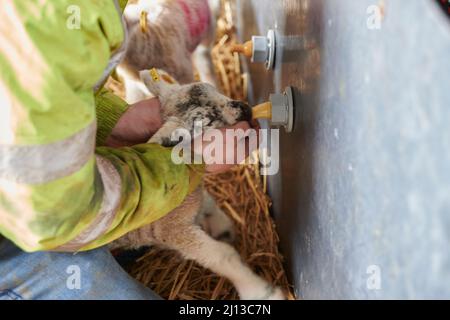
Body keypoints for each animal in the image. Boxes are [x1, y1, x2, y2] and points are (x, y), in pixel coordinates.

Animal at [110, 68, 284, 300]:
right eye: (209, 121)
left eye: (212, 90)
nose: (245, 109)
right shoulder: (173, 230)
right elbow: (223, 256)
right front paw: (262, 292)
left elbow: (208, 202)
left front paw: (222, 227)